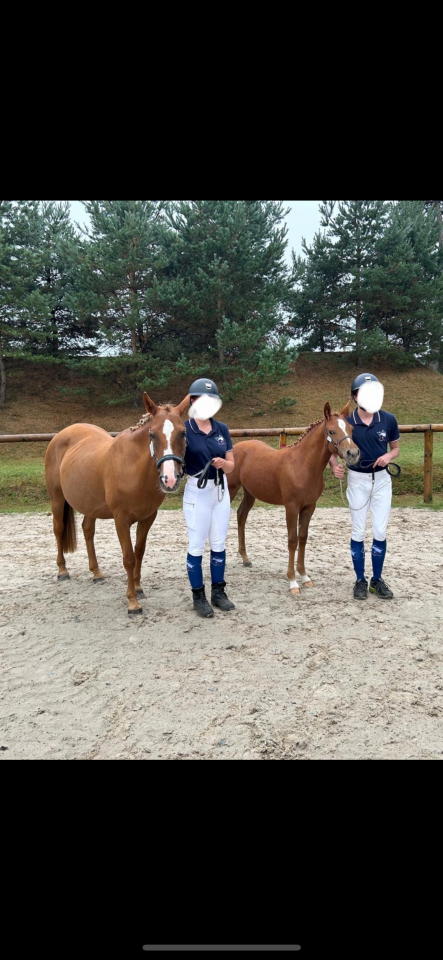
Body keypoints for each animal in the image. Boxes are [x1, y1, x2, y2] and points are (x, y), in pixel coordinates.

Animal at [45, 392, 190, 616]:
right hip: (57, 498)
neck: (133, 468)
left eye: (182, 433)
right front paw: (133, 603)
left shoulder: (148, 517)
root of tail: (60, 435)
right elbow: (128, 557)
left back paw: (96, 573)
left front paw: (138, 588)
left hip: (90, 505)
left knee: (88, 530)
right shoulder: (121, 520)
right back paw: (62, 570)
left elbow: (139, 551)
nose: (170, 479)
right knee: (59, 529)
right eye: (152, 435)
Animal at [227, 402, 360, 595]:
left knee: (241, 515)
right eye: (331, 431)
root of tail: (237, 448)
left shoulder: (309, 507)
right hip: (231, 489)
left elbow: (303, 538)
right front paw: (292, 581)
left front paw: (304, 576)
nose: (353, 453)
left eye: (351, 428)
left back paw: (245, 558)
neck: (303, 464)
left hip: (250, 492)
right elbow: (292, 540)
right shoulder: (291, 507)